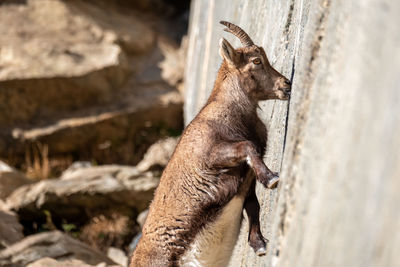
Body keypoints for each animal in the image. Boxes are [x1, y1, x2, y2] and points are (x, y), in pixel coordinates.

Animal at [130, 21, 290, 267]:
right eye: (256, 61)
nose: (286, 84)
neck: (227, 113)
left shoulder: (246, 180)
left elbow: (253, 205)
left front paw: (259, 244)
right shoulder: (211, 157)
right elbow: (247, 146)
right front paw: (271, 178)